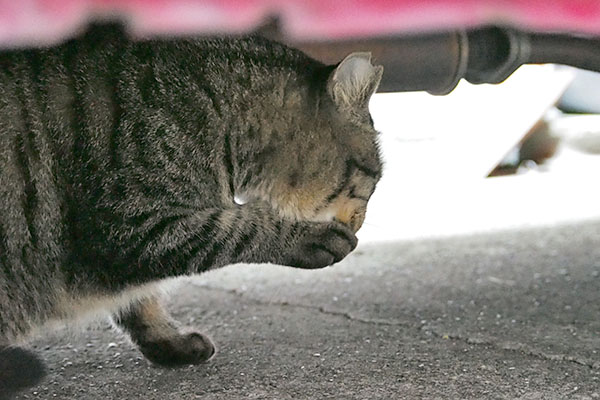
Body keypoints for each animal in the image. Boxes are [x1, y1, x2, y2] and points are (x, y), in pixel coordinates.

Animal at [0, 24, 384, 396]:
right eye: (374, 180)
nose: (360, 225)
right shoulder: (128, 222)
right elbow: (239, 228)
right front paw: (307, 238)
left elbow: (140, 301)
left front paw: (169, 341)